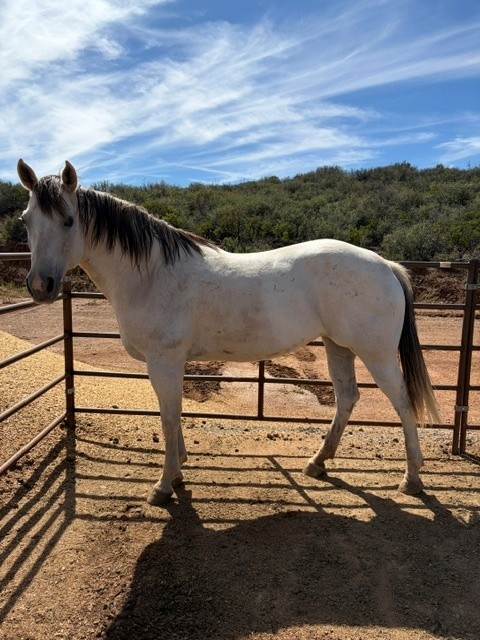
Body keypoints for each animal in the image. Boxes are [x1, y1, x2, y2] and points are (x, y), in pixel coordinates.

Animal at [17, 159, 440, 505]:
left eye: (69, 220)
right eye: (26, 220)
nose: (40, 286)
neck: (152, 274)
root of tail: (385, 265)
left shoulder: (164, 360)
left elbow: (168, 416)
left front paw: (164, 485)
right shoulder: (170, 363)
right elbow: (173, 414)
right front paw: (179, 470)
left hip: (376, 354)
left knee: (403, 403)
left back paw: (411, 480)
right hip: (338, 346)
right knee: (347, 398)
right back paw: (317, 463)